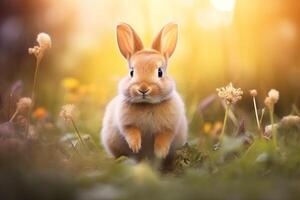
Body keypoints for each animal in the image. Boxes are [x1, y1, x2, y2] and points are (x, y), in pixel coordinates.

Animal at [102, 22, 189, 161]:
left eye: (160, 72)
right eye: (131, 72)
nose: (143, 89)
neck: (147, 104)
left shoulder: (169, 127)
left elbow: (164, 138)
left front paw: (160, 153)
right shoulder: (126, 124)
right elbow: (131, 132)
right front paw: (136, 147)